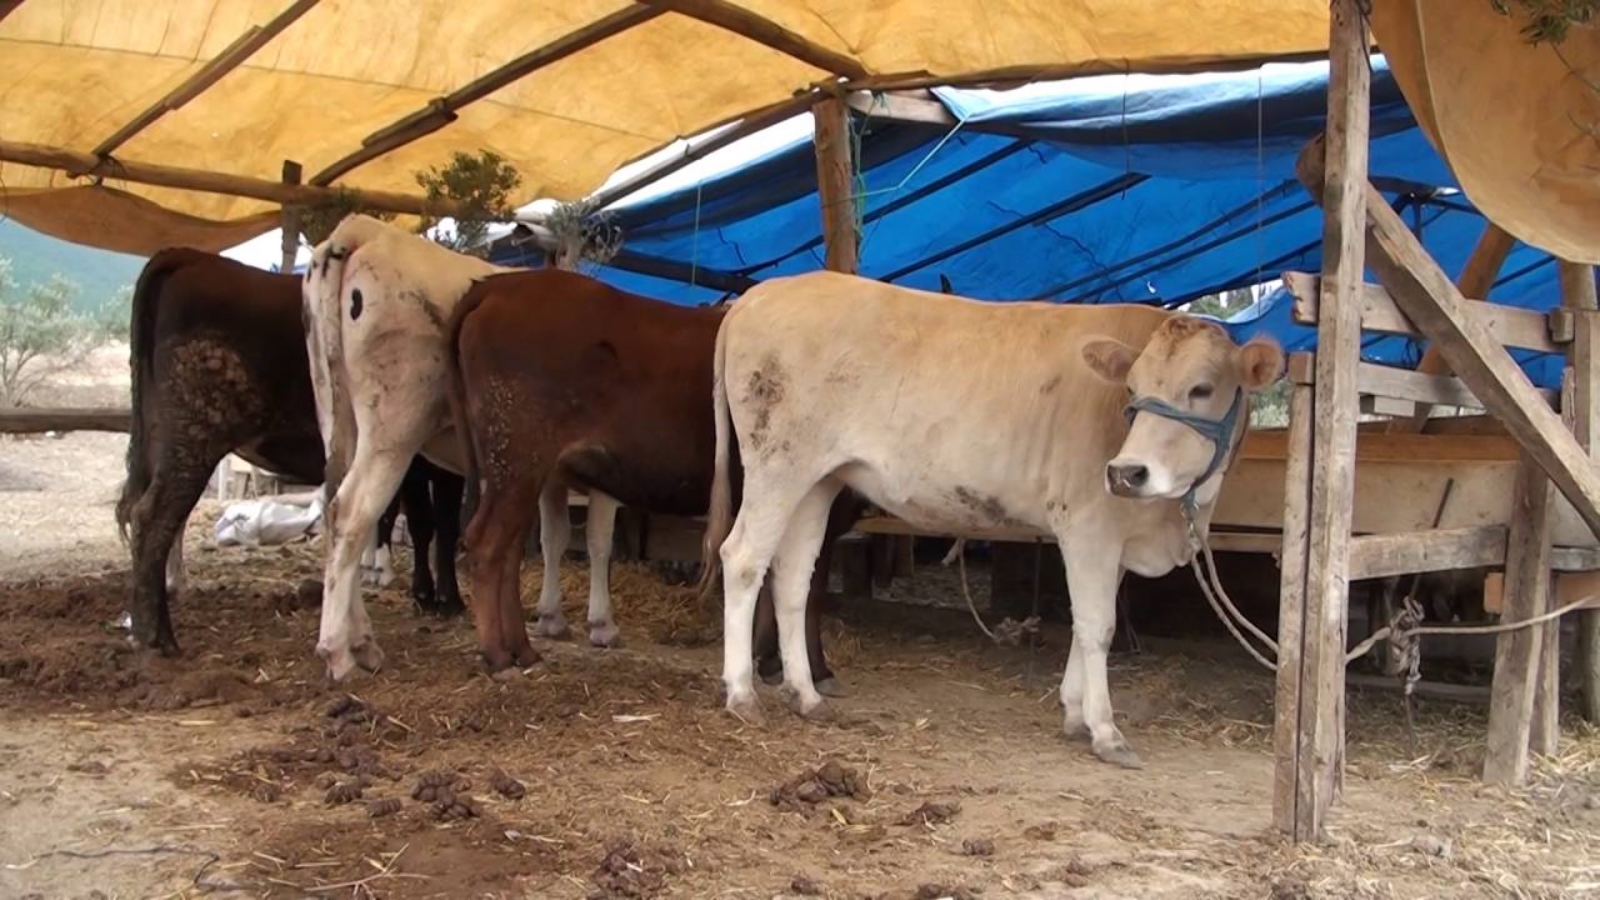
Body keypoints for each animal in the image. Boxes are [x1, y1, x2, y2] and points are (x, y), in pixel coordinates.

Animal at [111, 246, 464, 650]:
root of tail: (192, 257)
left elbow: (423, 523)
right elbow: (434, 524)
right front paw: (443, 599)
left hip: (161, 435)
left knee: (153, 515)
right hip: (195, 432)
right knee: (153, 517)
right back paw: (158, 636)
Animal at [444, 267, 870, 685]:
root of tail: (502, 283)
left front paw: (769, 660)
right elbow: (807, 588)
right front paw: (814, 668)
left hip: (518, 470)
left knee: (509, 551)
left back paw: (523, 650)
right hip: (517, 456)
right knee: (486, 545)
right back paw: (499, 656)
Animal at [707, 269, 1280, 768]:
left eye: (1203, 388)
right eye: (1132, 390)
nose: (1126, 473)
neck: (1167, 523)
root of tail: (761, 294)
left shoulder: (1116, 541)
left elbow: (1083, 623)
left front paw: (1074, 712)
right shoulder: (1088, 525)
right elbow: (1098, 626)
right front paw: (1105, 730)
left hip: (817, 480)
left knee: (793, 578)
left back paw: (806, 695)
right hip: (778, 462)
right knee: (742, 558)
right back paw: (742, 693)